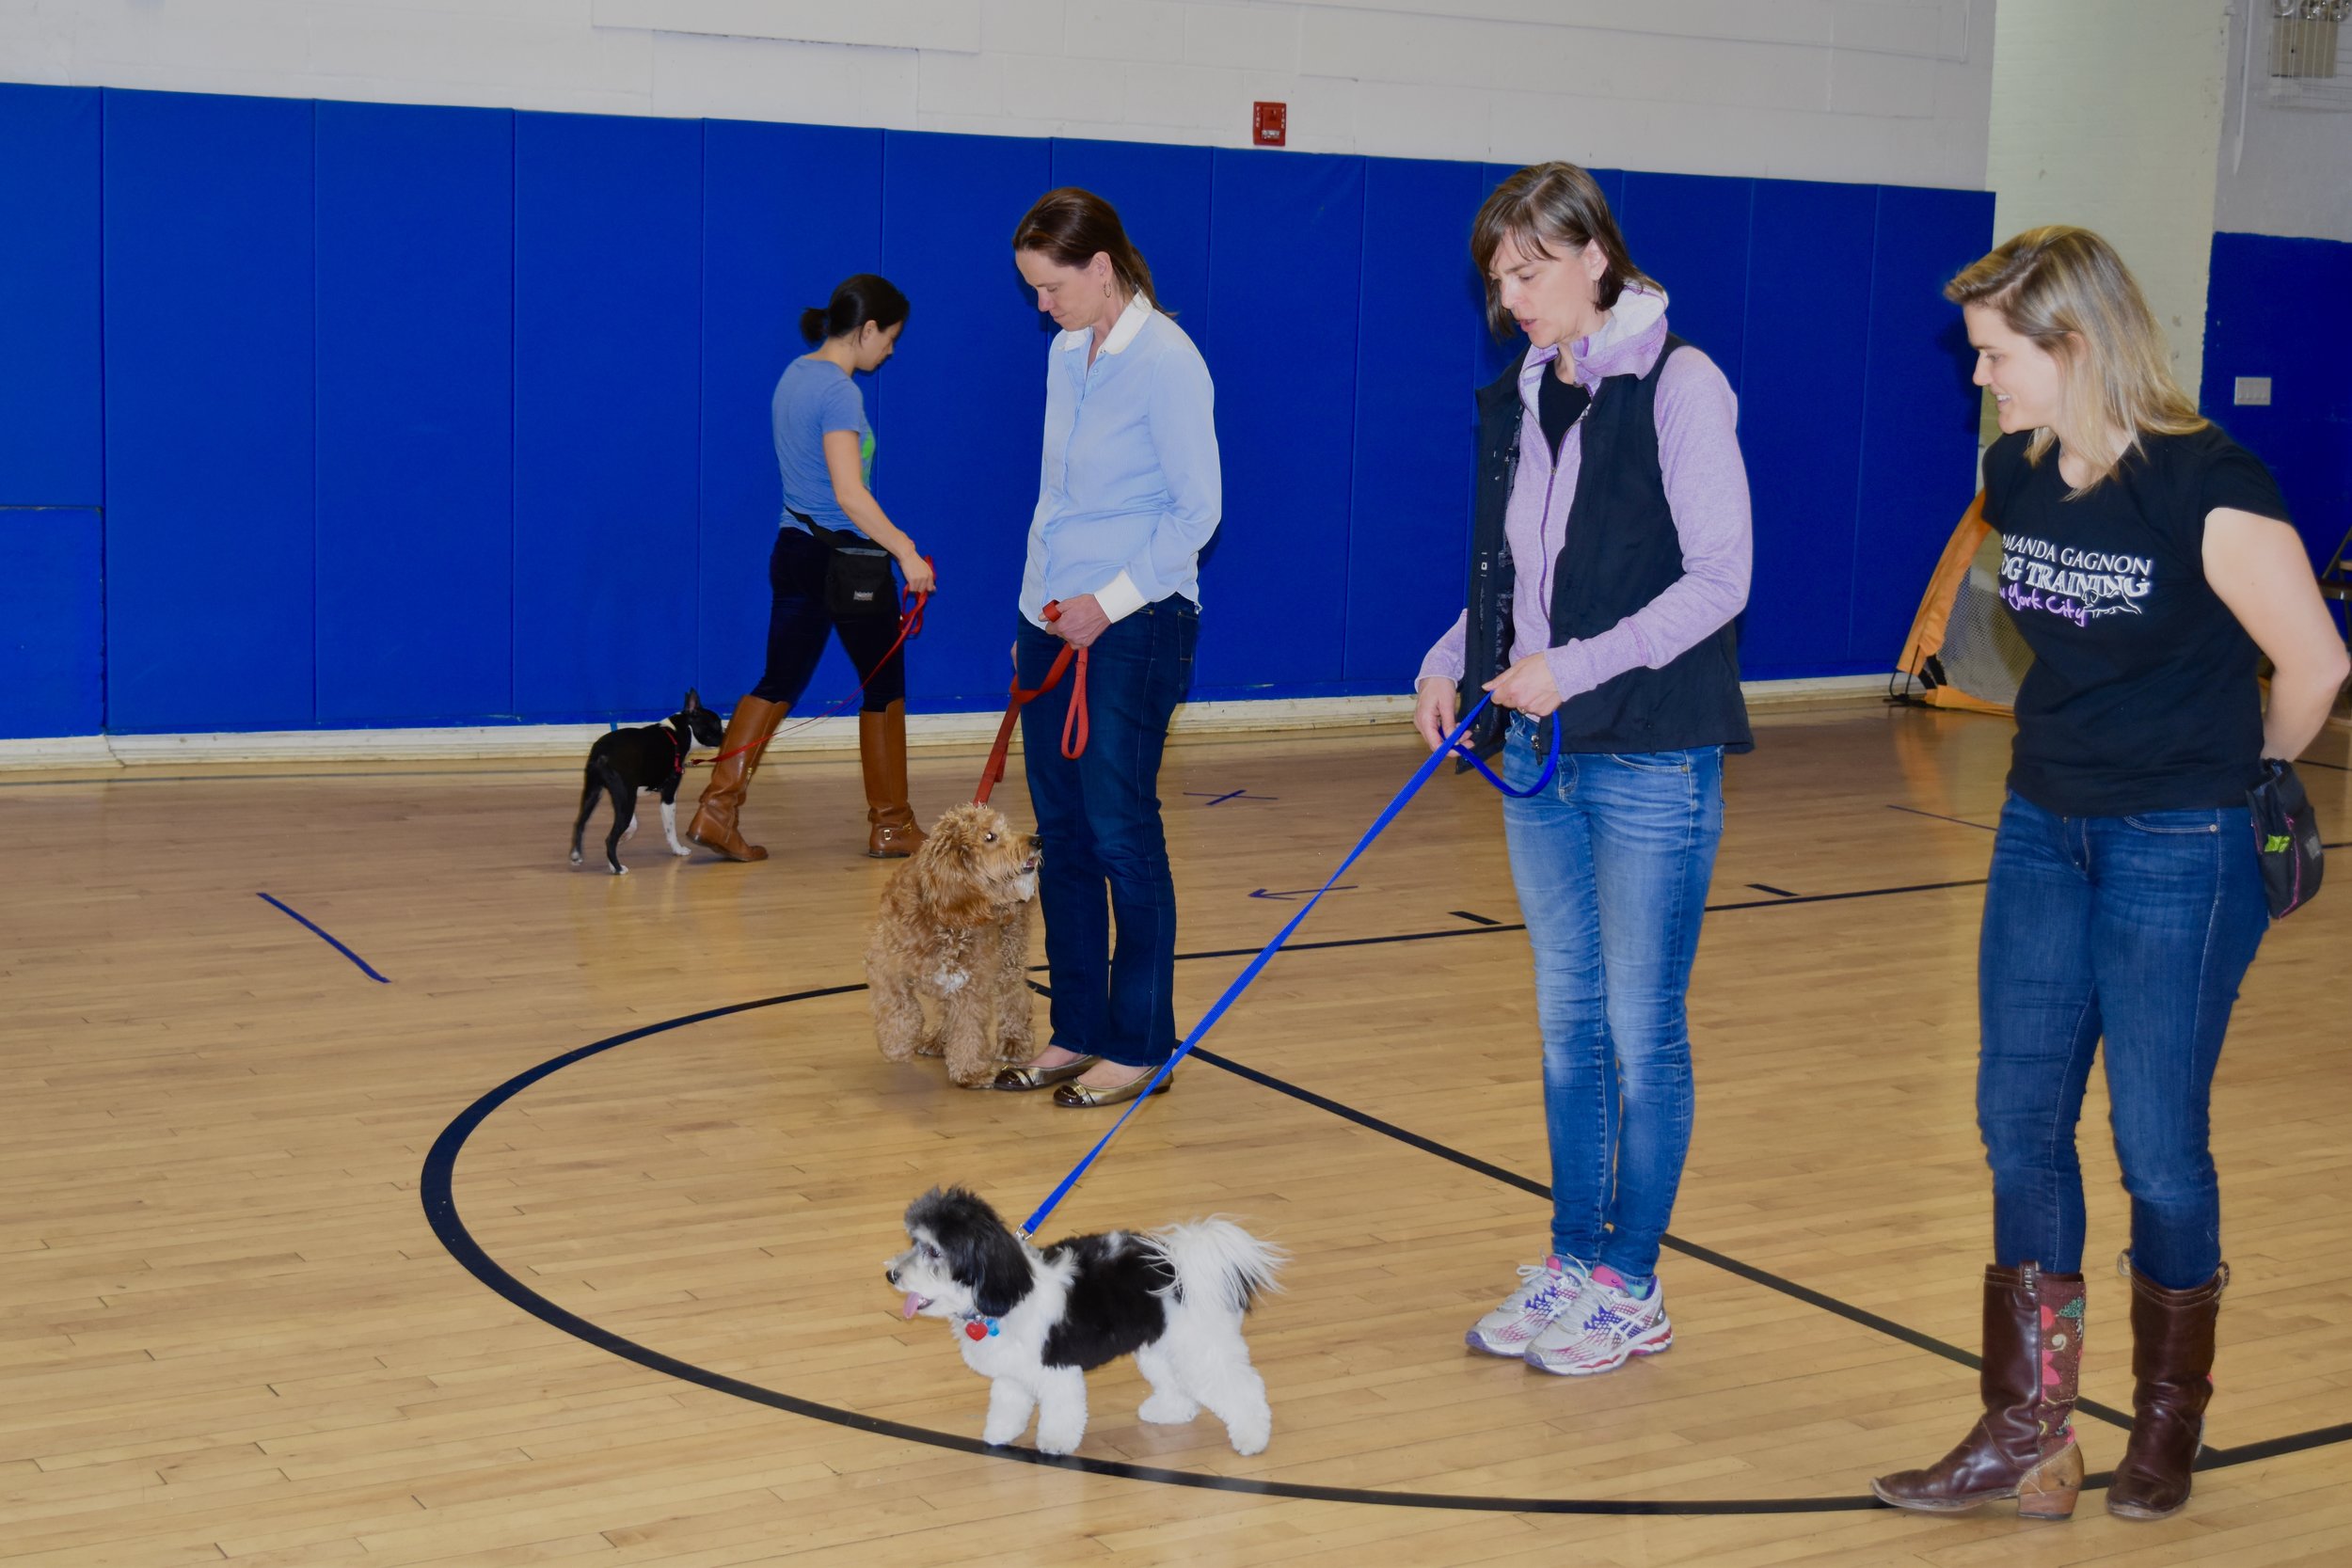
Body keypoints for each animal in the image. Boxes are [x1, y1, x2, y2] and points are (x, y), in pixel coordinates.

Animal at [564, 690, 720, 879]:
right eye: (716, 723)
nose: (725, 732)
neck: (679, 732)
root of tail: (602, 753)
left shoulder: (628, 796)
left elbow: (633, 825)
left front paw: (622, 842)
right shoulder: (668, 796)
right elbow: (670, 829)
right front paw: (678, 849)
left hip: (595, 793)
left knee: (580, 823)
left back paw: (578, 855)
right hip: (624, 799)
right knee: (610, 838)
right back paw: (619, 868)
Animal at [870, 803, 1044, 1085]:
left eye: (1006, 828)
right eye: (990, 836)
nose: (1038, 841)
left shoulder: (972, 982)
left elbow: (968, 1028)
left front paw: (970, 1071)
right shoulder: (884, 961)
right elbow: (898, 1005)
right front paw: (897, 1044)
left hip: (1010, 953)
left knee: (1015, 995)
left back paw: (1013, 1040)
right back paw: (937, 1039)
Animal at [884, 1189, 1289, 1457]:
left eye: (934, 1251)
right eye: (914, 1242)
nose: (891, 1274)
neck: (1007, 1292)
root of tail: (1183, 1263)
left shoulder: (1057, 1369)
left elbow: (1063, 1411)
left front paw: (1054, 1444)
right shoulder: (1013, 1374)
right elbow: (1007, 1405)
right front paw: (1000, 1433)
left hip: (1202, 1347)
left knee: (1243, 1388)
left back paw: (1252, 1438)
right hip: (1162, 1346)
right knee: (1179, 1386)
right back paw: (1170, 1411)